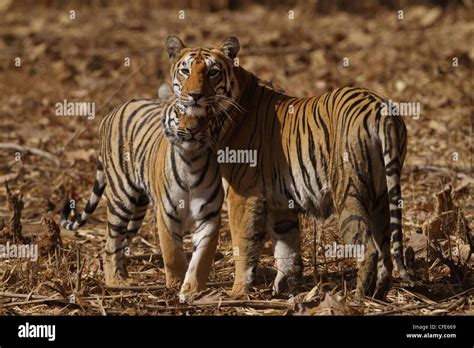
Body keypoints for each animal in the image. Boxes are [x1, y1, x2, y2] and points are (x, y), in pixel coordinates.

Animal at [60, 36, 243, 300]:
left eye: (206, 116)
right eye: (180, 112)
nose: (192, 130)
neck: (192, 159)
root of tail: (112, 111)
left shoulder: (209, 216)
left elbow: (201, 258)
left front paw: (192, 290)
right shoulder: (166, 214)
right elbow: (173, 254)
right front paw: (174, 284)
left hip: (138, 207)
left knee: (124, 241)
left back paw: (124, 275)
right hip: (121, 199)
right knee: (111, 242)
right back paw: (116, 281)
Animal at [167, 36, 412, 302]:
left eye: (213, 72)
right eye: (185, 70)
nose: (194, 96)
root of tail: (381, 107)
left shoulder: (242, 195)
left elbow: (243, 244)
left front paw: (238, 292)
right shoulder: (280, 203)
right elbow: (287, 249)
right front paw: (284, 290)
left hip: (349, 192)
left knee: (368, 248)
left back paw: (358, 298)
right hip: (382, 196)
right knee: (385, 249)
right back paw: (379, 294)